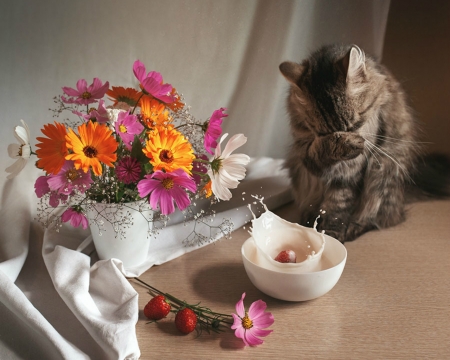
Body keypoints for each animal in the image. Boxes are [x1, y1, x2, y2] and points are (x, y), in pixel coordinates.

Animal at [280, 44, 448, 242]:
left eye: (355, 125)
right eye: (324, 134)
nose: (352, 142)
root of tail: (402, 197)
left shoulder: (352, 172)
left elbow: (339, 204)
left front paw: (332, 235)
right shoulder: (307, 153)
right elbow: (320, 154)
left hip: (382, 172)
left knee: (379, 219)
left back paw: (353, 229)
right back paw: (308, 220)